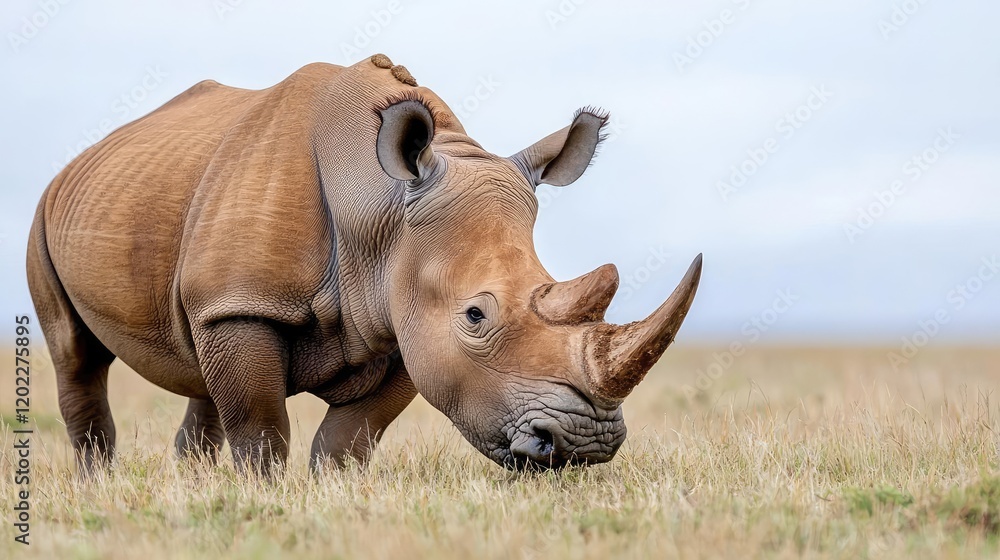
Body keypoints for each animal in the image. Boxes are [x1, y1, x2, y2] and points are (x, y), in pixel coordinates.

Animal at [26, 54, 702, 475]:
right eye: (476, 315)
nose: (585, 444)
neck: (381, 211)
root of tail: (82, 157)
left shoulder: (404, 318)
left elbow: (350, 438)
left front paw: (329, 495)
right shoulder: (244, 304)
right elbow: (260, 428)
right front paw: (261, 498)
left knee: (197, 364)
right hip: (43, 215)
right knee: (76, 355)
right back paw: (100, 483)